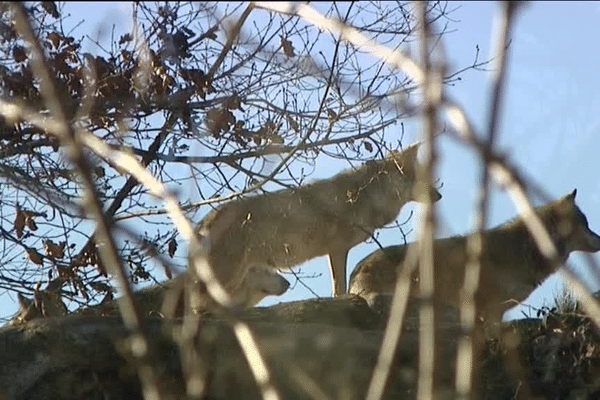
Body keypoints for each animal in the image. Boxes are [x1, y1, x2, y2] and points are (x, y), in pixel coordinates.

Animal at [190, 142, 442, 298]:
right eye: (421, 178)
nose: (439, 196)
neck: (369, 196)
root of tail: (202, 224)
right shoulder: (337, 248)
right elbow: (339, 287)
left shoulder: (336, 250)